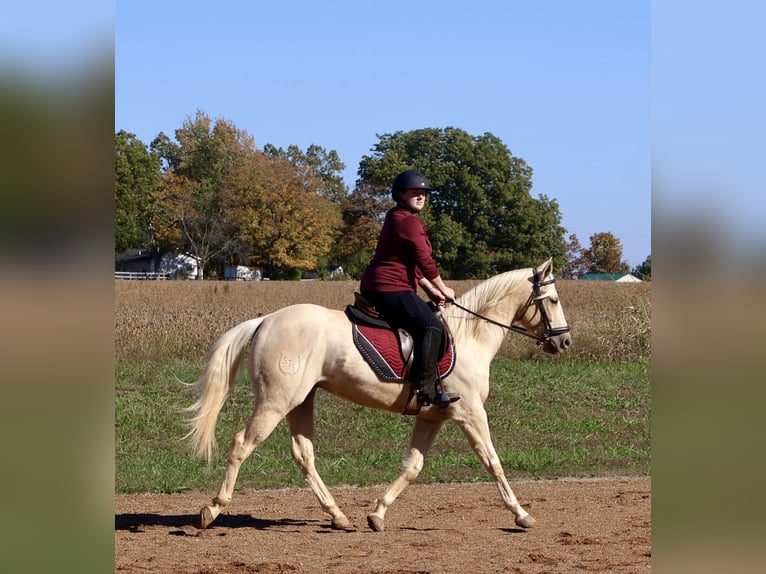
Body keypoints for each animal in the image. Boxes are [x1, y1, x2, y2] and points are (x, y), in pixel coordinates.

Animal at [185, 258, 571, 532]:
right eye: (552, 300)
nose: (564, 341)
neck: (470, 336)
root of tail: (266, 320)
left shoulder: (433, 416)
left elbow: (413, 467)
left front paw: (378, 513)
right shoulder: (471, 414)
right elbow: (493, 461)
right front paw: (521, 514)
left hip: (300, 402)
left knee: (304, 455)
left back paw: (338, 516)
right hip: (275, 402)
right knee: (242, 444)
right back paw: (212, 509)